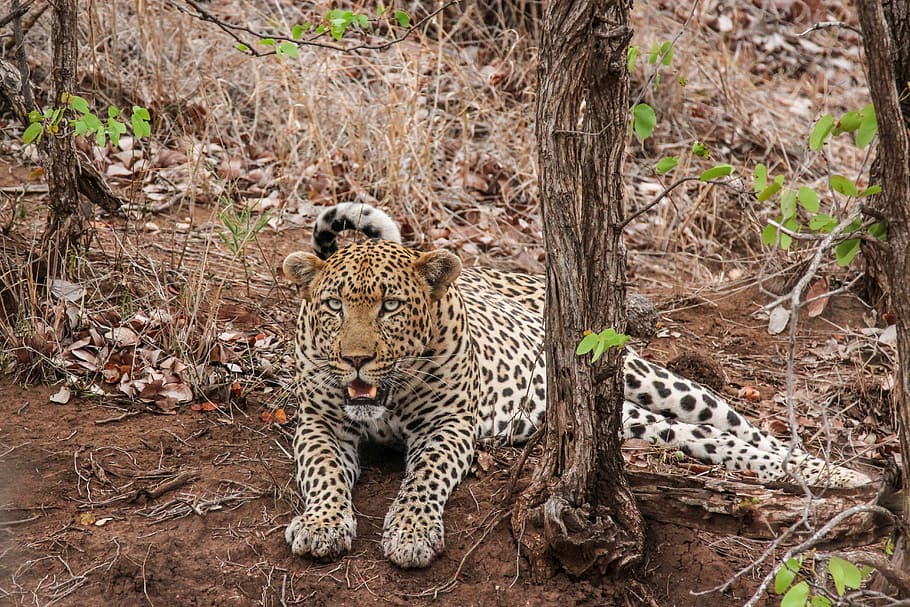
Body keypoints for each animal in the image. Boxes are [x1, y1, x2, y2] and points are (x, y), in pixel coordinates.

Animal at [282, 202, 871, 569]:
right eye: (333, 305)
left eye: (390, 307)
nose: (355, 360)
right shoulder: (320, 423)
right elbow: (322, 472)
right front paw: (321, 525)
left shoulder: (448, 425)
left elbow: (424, 479)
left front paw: (409, 533)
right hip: (610, 417)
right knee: (697, 437)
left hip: (646, 379)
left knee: (737, 428)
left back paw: (838, 477)